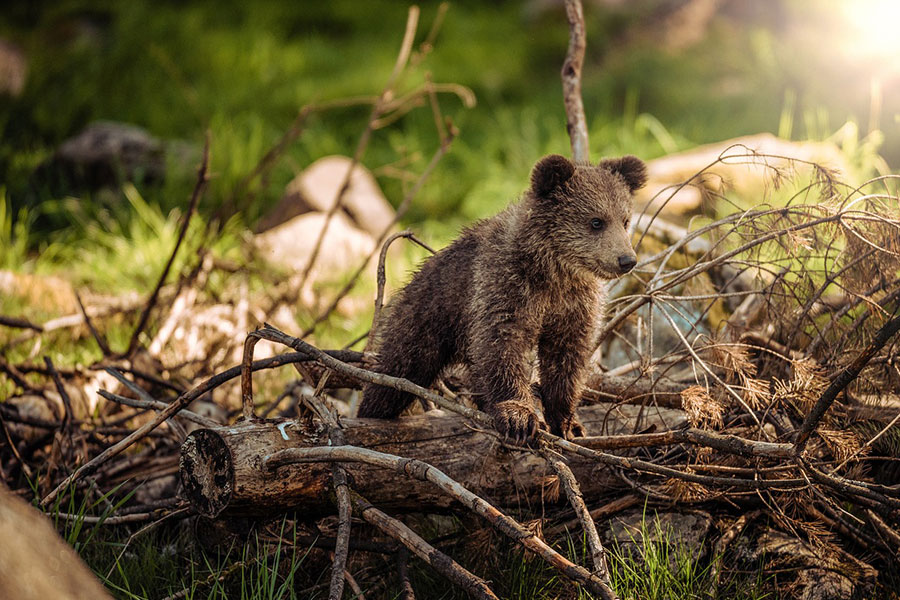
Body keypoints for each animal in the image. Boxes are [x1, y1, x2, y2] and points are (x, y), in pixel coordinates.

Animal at [358, 153, 647, 442]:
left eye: (625, 220)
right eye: (596, 221)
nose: (626, 260)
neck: (553, 271)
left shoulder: (574, 305)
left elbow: (566, 358)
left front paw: (568, 423)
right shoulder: (505, 286)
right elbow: (503, 345)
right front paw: (518, 417)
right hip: (426, 317)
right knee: (396, 372)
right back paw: (371, 412)